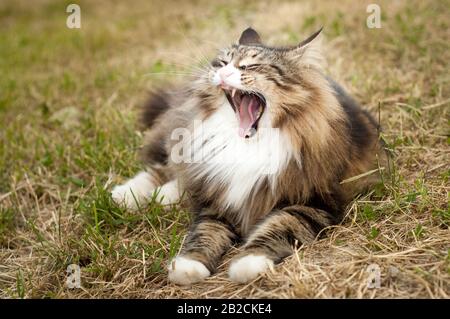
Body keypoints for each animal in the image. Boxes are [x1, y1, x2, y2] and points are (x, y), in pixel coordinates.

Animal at [111, 28, 386, 284]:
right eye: (221, 63)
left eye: (250, 66)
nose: (223, 74)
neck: (249, 145)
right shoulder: (217, 200)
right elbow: (204, 233)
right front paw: (189, 266)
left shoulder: (315, 202)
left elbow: (278, 227)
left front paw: (249, 263)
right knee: (167, 169)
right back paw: (127, 195)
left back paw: (161, 196)